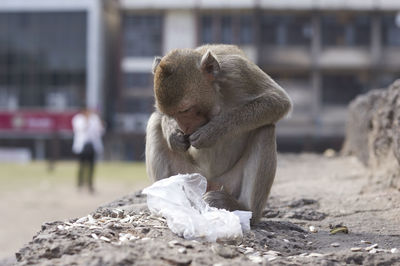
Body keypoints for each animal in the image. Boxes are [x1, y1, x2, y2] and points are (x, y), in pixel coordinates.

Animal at [145, 44, 290, 224]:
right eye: (171, 114)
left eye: (185, 110)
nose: (184, 128)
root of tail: (209, 182)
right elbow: (158, 114)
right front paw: (173, 135)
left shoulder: (238, 71)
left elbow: (277, 101)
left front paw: (212, 132)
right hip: (188, 173)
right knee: (154, 123)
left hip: (229, 184)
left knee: (265, 129)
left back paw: (243, 209)